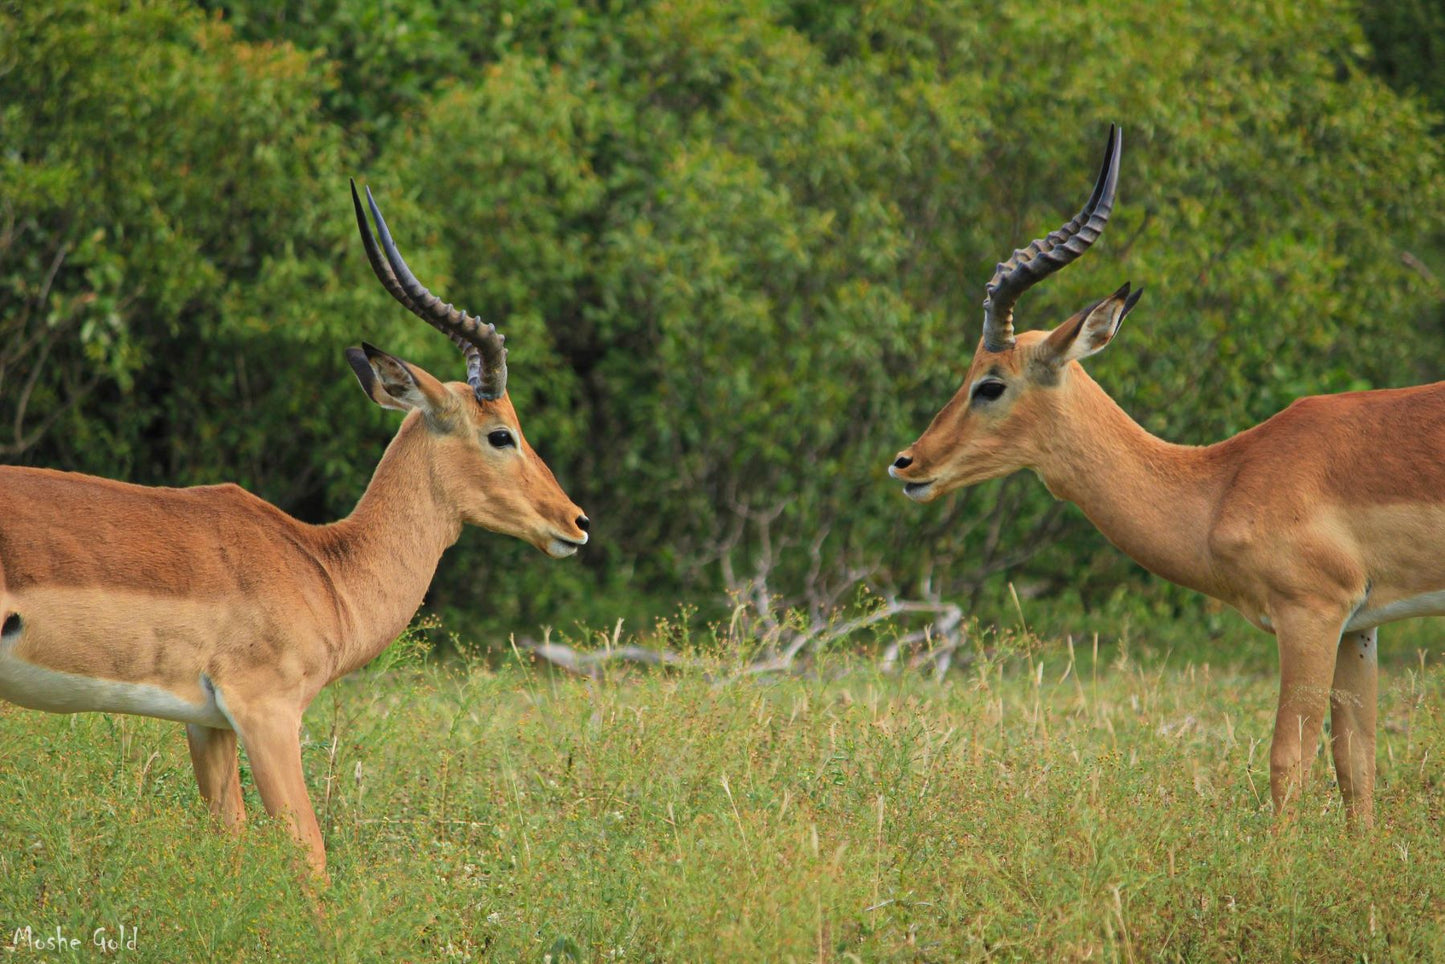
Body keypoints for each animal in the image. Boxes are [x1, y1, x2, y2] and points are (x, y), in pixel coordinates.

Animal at [0, 179, 592, 872]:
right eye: (501, 434)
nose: (575, 522)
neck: (325, 568)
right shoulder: (268, 713)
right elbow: (311, 858)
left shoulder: (208, 725)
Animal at [884, 122, 1445, 832]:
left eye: (990, 383)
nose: (907, 463)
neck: (1225, 481)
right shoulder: (1361, 626)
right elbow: (1358, 767)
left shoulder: (1311, 614)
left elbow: (1288, 761)